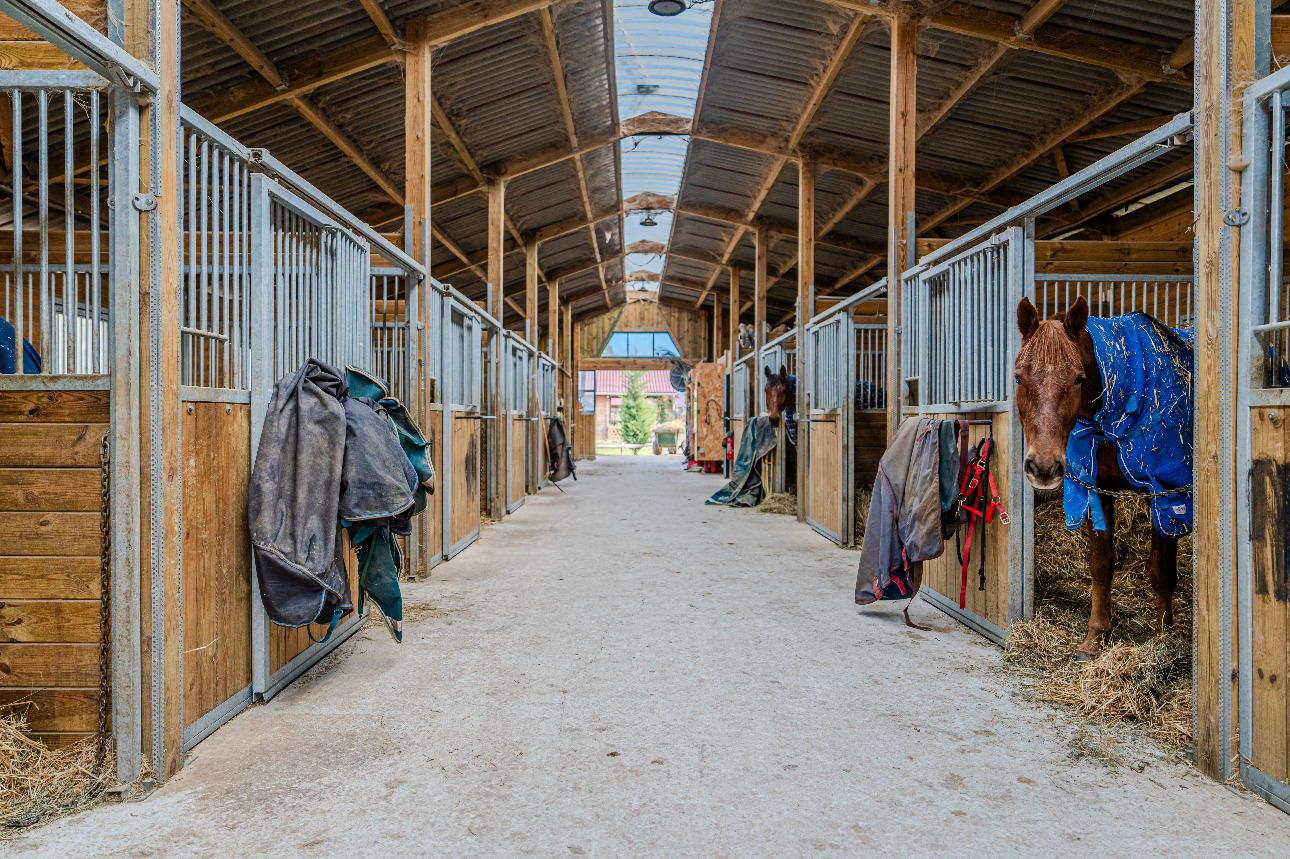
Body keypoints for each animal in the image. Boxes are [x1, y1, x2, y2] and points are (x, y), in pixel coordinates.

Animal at [1016, 297, 1186, 657]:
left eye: (1078, 379)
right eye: (1019, 378)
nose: (1043, 467)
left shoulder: (1167, 493)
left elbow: (1162, 571)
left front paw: (1163, 639)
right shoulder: (1099, 491)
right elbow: (1101, 564)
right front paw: (1095, 638)